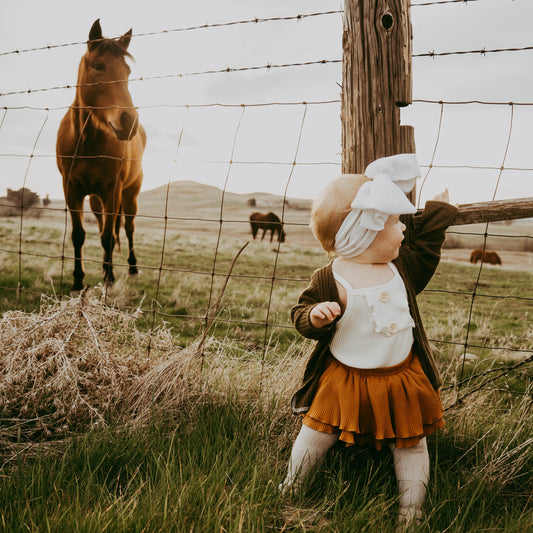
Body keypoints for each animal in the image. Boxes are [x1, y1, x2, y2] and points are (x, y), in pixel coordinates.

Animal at [56, 18, 145, 290]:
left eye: (127, 72)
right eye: (98, 66)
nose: (129, 122)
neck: (87, 143)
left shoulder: (112, 191)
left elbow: (108, 236)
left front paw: (109, 279)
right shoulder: (71, 189)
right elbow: (79, 235)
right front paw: (77, 280)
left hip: (129, 194)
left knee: (127, 228)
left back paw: (131, 268)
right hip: (96, 200)